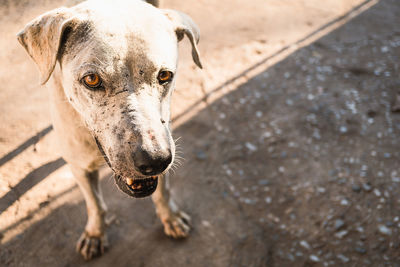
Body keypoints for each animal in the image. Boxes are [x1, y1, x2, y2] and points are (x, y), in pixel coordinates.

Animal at [17, 0, 202, 260]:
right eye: (92, 79)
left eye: (165, 75)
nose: (155, 159)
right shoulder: (79, 166)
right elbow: (94, 204)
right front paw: (95, 233)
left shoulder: (166, 139)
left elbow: (163, 191)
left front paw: (171, 217)